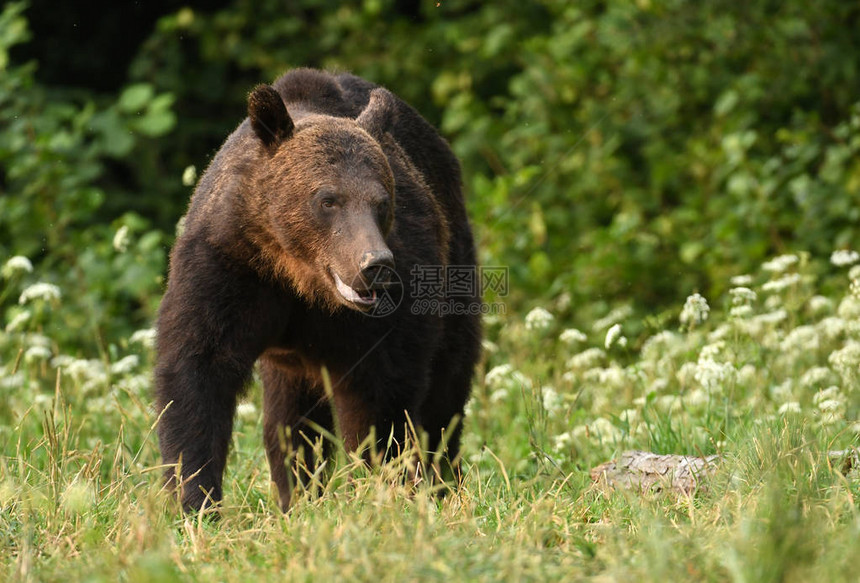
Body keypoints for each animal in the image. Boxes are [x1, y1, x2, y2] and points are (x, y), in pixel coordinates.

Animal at [151, 70, 480, 512]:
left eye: (381, 201)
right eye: (328, 199)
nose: (375, 264)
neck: (301, 277)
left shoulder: (390, 308)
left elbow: (382, 397)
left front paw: (380, 488)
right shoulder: (230, 267)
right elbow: (197, 371)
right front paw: (196, 500)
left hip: (455, 264)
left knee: (447, 383)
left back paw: (443, 481)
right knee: (290, 420)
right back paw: (300, 494)